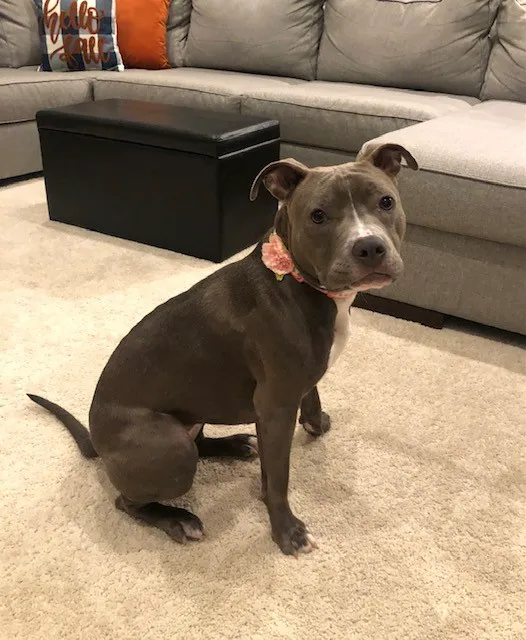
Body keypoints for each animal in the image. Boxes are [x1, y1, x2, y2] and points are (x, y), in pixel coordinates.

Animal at [29, 142, 418, 556]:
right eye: (318, 215)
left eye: (386, 202)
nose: (369, 246)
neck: (298, 280)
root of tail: (96, 441)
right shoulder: (276, 404)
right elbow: (278, 477)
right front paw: (287, 532)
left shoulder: (289, 390)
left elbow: (309, 401)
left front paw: (316, 423)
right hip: (170, 450)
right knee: (129, 499)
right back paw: (179, 520)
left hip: (193, 419)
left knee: (200, 444)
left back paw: (235, 445)